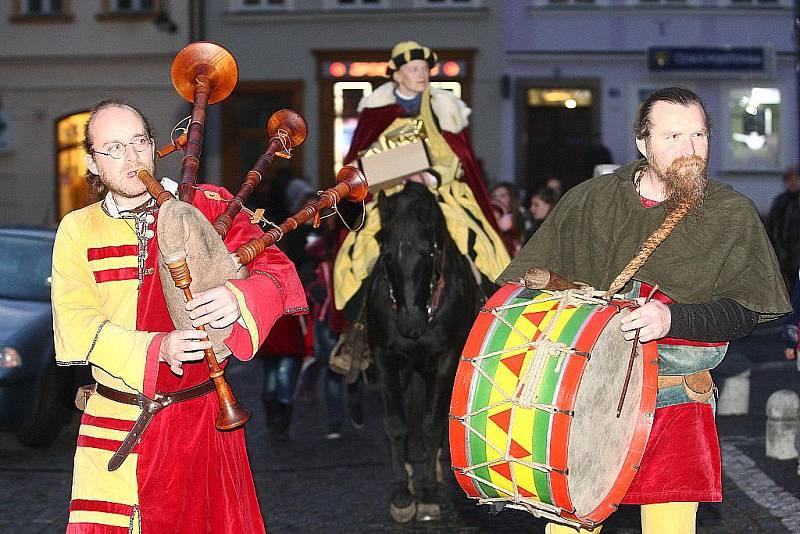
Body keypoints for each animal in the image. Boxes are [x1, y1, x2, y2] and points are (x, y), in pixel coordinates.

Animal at [368, 183, 484, 524]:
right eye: (386, 253)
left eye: (428, 252)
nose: (410, 324)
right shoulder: (385, 359)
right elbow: (396, 424)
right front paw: (402, 494)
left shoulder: (446, 359)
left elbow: (432, 425)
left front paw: (430, 493)